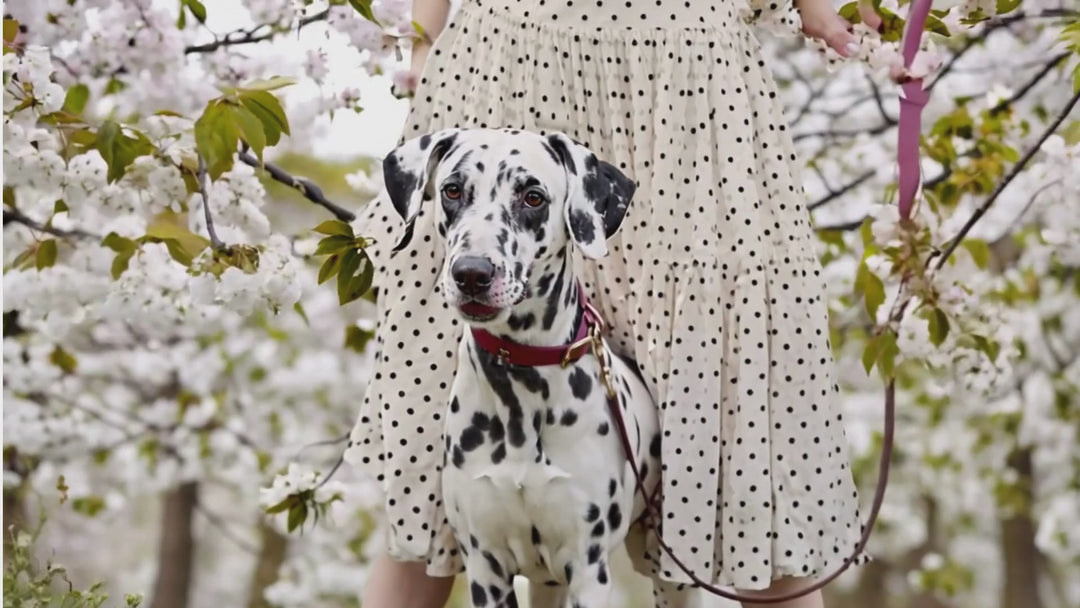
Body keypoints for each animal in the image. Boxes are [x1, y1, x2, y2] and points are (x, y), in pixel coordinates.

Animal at [384, 127, 691, 604]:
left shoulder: (588, 568)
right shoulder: (486, 568)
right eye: (452, 190)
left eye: (532, 197)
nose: (472, 274)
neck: (521, 392)